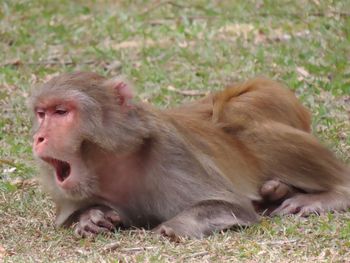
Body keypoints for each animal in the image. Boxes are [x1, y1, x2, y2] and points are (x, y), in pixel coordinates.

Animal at [30, 71, 350, 239]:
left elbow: (229, 206)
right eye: (42, 114)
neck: (114, 161)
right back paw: (276, 191)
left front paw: (169, 228)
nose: (38, 137)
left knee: (239, 118)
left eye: (61, 112)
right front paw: (92, 218)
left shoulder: (172, 152)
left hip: (268, 99)